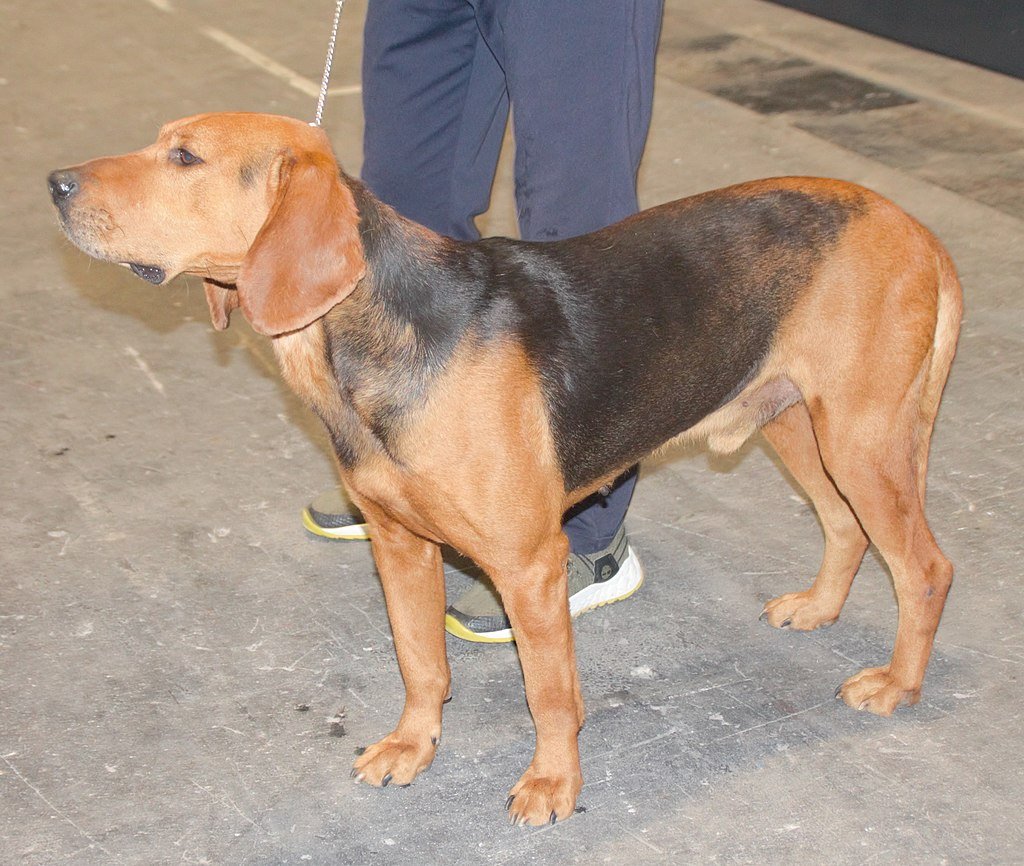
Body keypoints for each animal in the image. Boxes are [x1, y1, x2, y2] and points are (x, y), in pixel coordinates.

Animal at [48, 113, 958, 827]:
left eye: (185, 157)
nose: (54, 182)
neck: (367, 333)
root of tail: (915, 226)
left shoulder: (530, 565)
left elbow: (549, 694)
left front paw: (554, 783)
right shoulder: (399, 546)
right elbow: (420, 662)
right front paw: (413, 745)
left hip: (861, 439)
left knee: (925, 568)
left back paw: (898, 685)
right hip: (798, 423)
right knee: (845, 529)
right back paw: (819, 609)